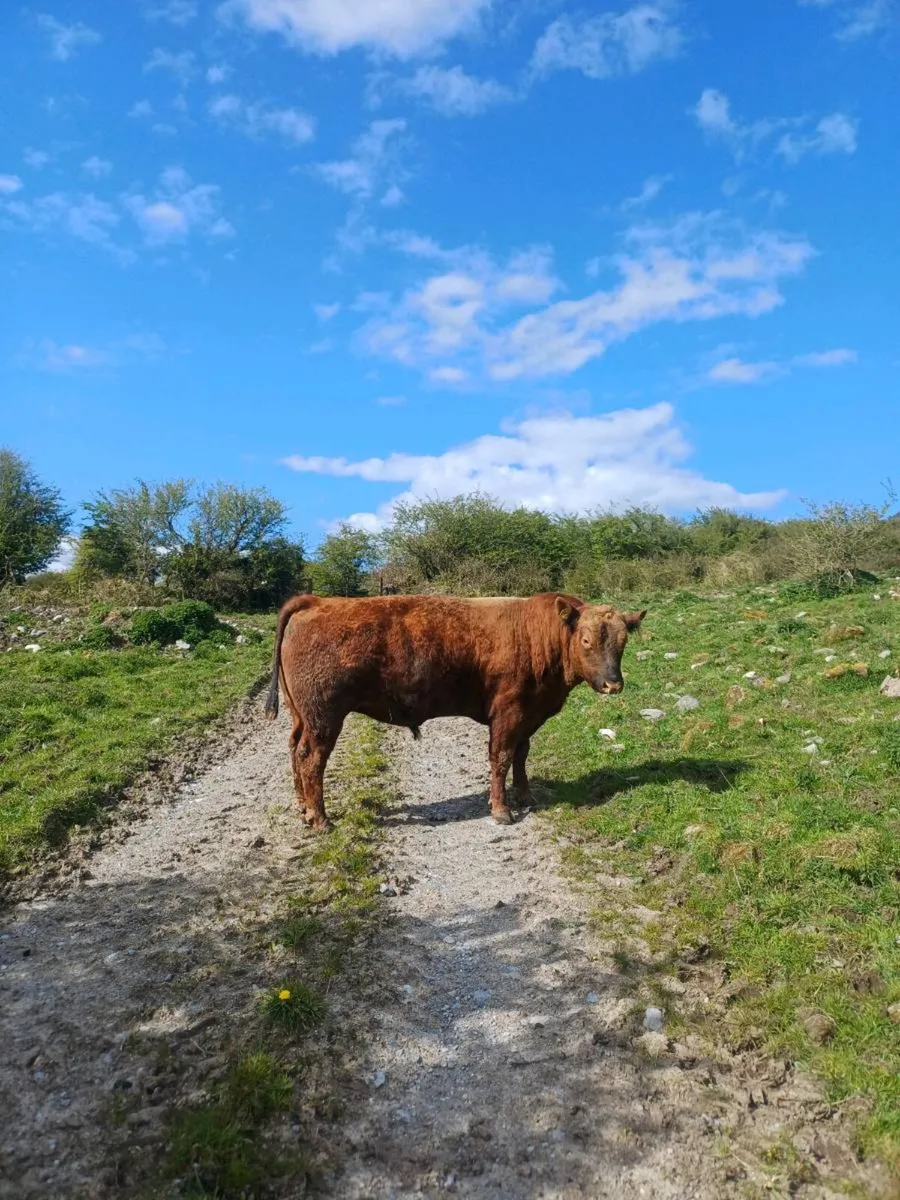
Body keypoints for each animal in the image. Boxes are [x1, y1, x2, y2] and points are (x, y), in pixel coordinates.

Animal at [264, 592, 645, 829]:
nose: (613, 684)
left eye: (623, 642)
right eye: (586, 641)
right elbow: (501, 757)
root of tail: (315, 601)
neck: (538, 636)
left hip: (301, 716)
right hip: (323, 718)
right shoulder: (508, 713)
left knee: (294, 750)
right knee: (311, 758)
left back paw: (303, 808)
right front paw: (502, 810)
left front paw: (525, 796)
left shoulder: (528, 717)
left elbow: (521, 756)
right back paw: (320, 819)